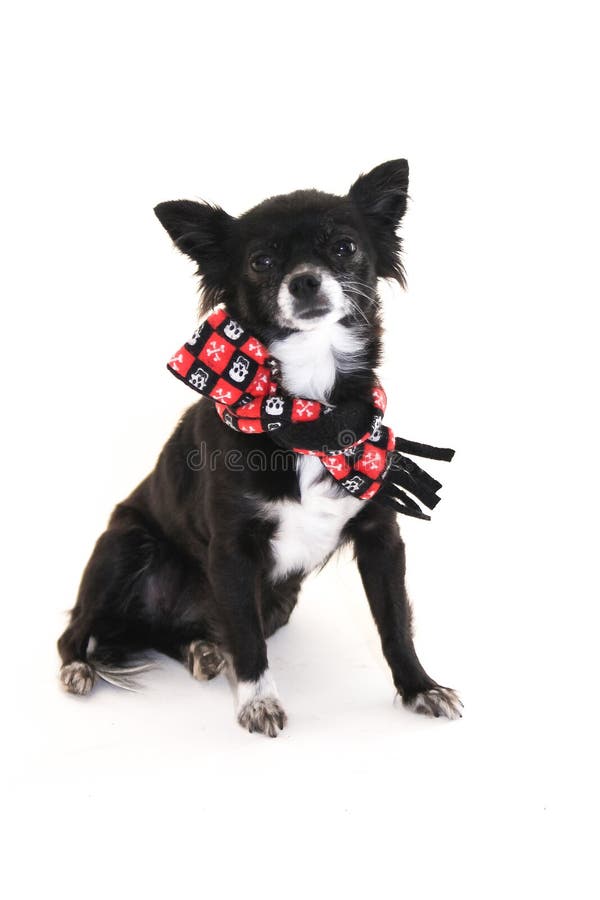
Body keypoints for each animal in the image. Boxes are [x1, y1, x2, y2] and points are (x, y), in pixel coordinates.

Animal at [57, 160, 460, 740]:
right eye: (261, 261)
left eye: (344, 247)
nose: (306, 280)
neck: (306, 411)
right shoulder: (232, 551)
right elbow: (247, 641)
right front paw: (258, 703)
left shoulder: (381, 538)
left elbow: (394, 623)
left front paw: (420, 688)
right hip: (125, 545)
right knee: (76, 628)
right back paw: (79, 668)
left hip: (279, 601)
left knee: (181, 634)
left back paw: (201, 648)